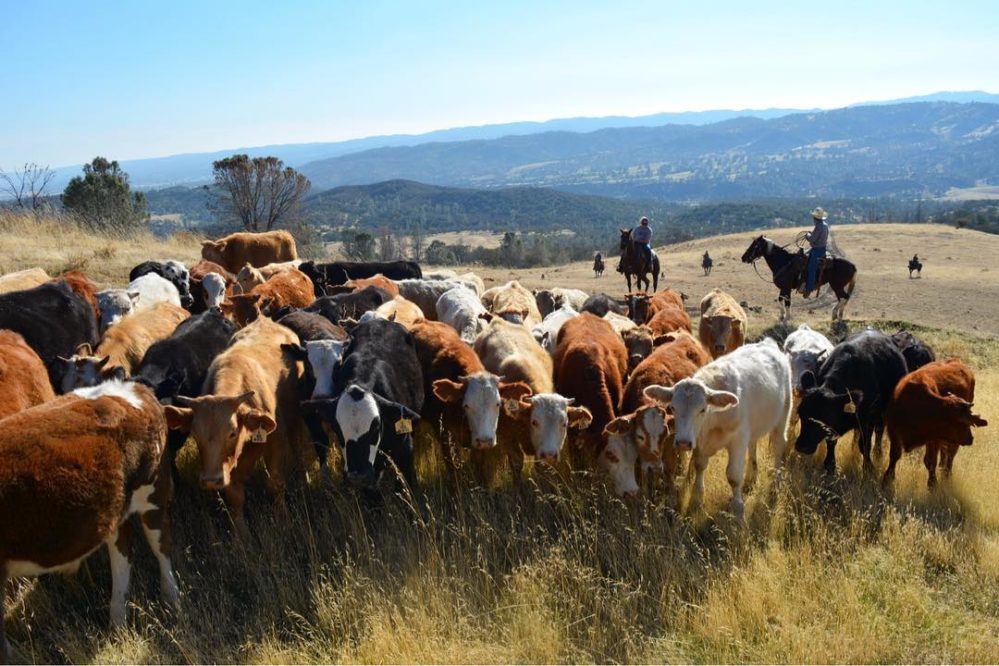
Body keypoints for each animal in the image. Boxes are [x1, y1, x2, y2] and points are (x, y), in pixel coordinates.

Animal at [0, 381, 178, 661]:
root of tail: (135, 388)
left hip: (154, 495)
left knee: (162, 548)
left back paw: (171, 601)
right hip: (115, 513)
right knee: (123, 557)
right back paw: (117, 623)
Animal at [163, 316, 308, 523]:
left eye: (232, 432)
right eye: (195, 436)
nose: (211, 481)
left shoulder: (276, 442)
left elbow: (275, 482)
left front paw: (283, 518)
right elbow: (235, 497)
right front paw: (240, 531)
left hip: (295, 417)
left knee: (299, 448)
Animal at [644, 338, 793, 521]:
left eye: (702, 409)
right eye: (672, 408)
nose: (683, 443)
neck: (712, 422)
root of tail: (768, 343)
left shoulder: (738, 440)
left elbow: (734, 476)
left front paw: (738, 510)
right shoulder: (700, 441)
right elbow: (699, 465)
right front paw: (696, 498)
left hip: (784, 413)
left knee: (779, 446)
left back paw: (776, 483)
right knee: (753, 445)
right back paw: (751, 476)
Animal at [795, 329, 909, 476]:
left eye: (825, 418)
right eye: (800, 413)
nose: (802, 446)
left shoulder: (867, 419)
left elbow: (865, 444)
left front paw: (868, 468)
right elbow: (831, 441)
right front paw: (830, 466)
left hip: (883, 412)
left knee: (879, 431)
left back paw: (878, 453)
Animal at [883, 358, 988, 488]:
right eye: (961, 422)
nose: (971, 438)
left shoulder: (934, 438)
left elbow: (930, 462)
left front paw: (932, 484)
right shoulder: (893, 432)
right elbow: (894, 456)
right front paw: (887, 478)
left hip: (951, 442)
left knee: (950, 456)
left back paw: (947, 475)